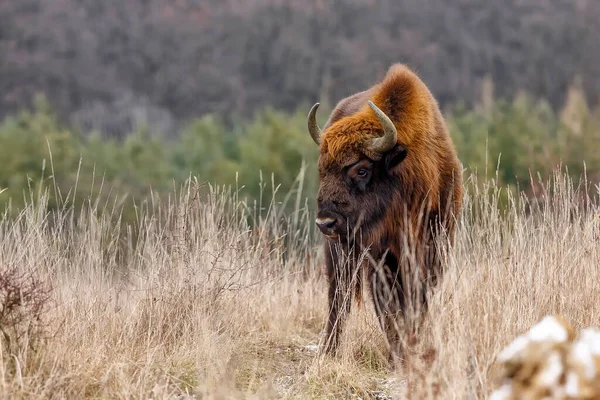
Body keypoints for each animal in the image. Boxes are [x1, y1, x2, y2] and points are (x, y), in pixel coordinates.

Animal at [308, 63, 462, 366]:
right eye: (323, 170)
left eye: (362, 170)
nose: (325, 222)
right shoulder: (380, 259)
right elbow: (388, 307)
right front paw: (399, 354)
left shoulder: (433, 250)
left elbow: (417, 302)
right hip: (338, 255)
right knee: (338, 298)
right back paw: (329, 349)